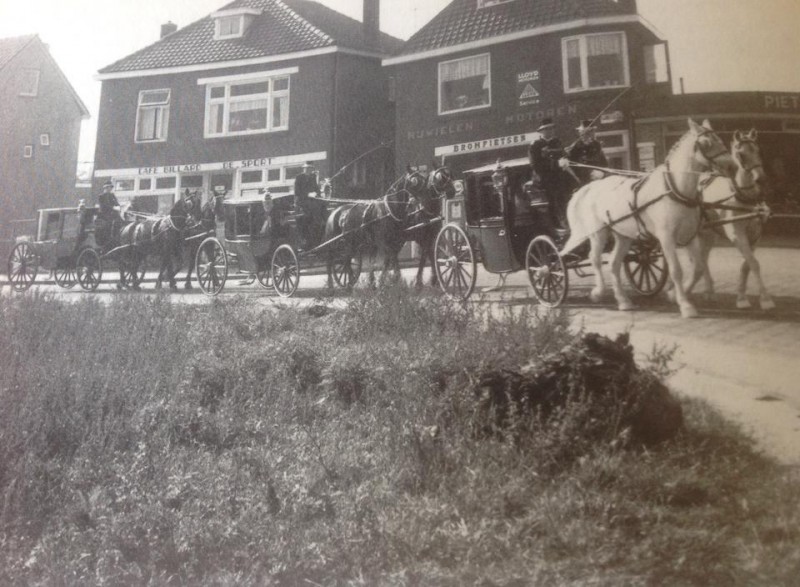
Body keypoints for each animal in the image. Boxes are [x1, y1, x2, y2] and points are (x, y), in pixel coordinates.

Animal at [560, 120, 736, 320]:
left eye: (720, 139)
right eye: (706, 143)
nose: (732, 167)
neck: (674, 188)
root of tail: (591, 186)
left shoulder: (689, 235)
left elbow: (698, 267)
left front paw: (673, 295)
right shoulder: (666, 237)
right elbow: (676, 270)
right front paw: (685, 306)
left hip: (622, 235)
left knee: (614, 263)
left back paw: (623, 301)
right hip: (598, 232)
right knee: (595, 259)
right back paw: (598, 293)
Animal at [680, 130, 776, 312]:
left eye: (758, 151)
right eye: (740, 154)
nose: (761, 179)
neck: (743, 198)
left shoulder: (755, 237)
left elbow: (746, 266)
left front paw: (742, 298)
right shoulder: (737, 235)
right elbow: (754, 263)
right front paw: (765, 300)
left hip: (709, 234)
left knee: (703, 258)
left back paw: (709, 292)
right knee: (697, 259)